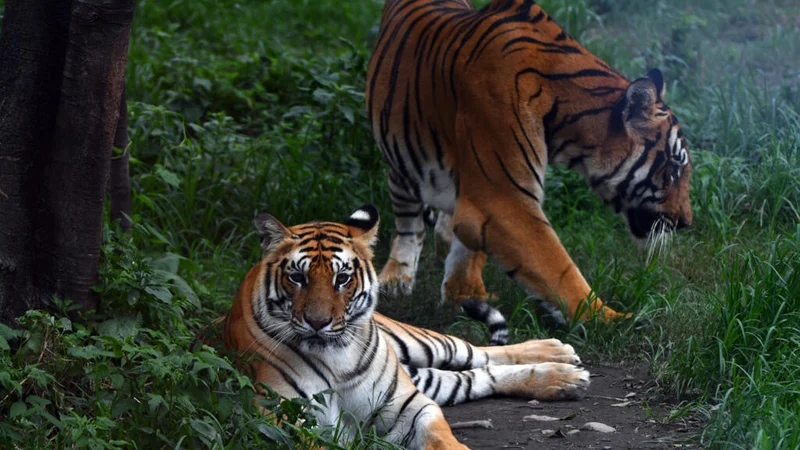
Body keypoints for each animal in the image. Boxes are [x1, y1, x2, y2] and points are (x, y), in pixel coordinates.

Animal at [220, 205, 589, 450]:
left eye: (343, 278)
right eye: (297, 277)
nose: (318, 322)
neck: (337, 360)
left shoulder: (409, 406)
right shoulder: (281, 419)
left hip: (420, 344)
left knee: (476, 352)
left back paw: (558, 358)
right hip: (424, 376)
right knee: (476, 376)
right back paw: (562, 378)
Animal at [366, 0, 693, 332]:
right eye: (674, 168)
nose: (686, 223)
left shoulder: (479, 193)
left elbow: (471, 249)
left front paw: (466, 293)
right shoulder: (503, 200)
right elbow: (558, 268)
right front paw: (614, 319)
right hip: (401, 162)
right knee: (409, 224)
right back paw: (397, 277)